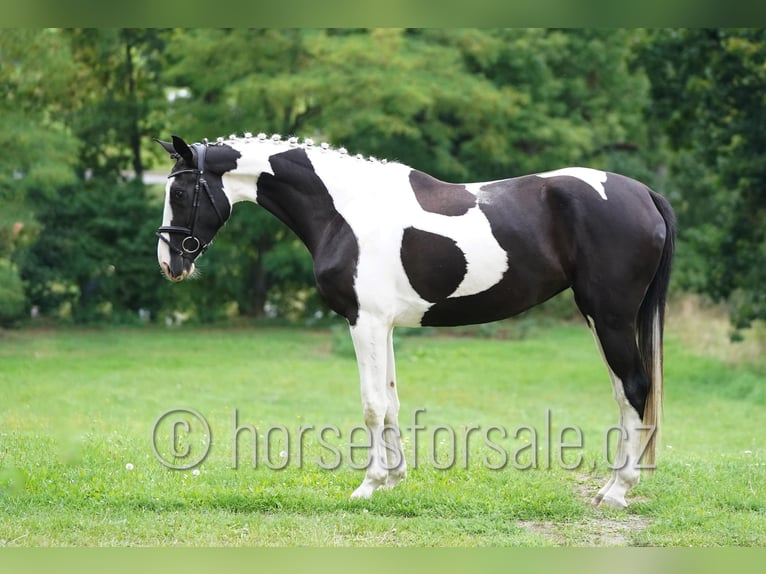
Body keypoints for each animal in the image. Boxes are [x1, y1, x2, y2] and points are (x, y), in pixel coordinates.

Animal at [154, 132, 675, 509]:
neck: (345, 209)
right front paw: (395, 478)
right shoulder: (381, 325)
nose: (170, 263)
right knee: (622, 394)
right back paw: (612, 486)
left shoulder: (363, 322)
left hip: (609, 317)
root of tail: (645, 192)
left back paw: (618, 491)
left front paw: (368, 485)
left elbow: (370, 404)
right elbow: (390, 402)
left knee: (634, 388)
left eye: (179, 190)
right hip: (600, 319)